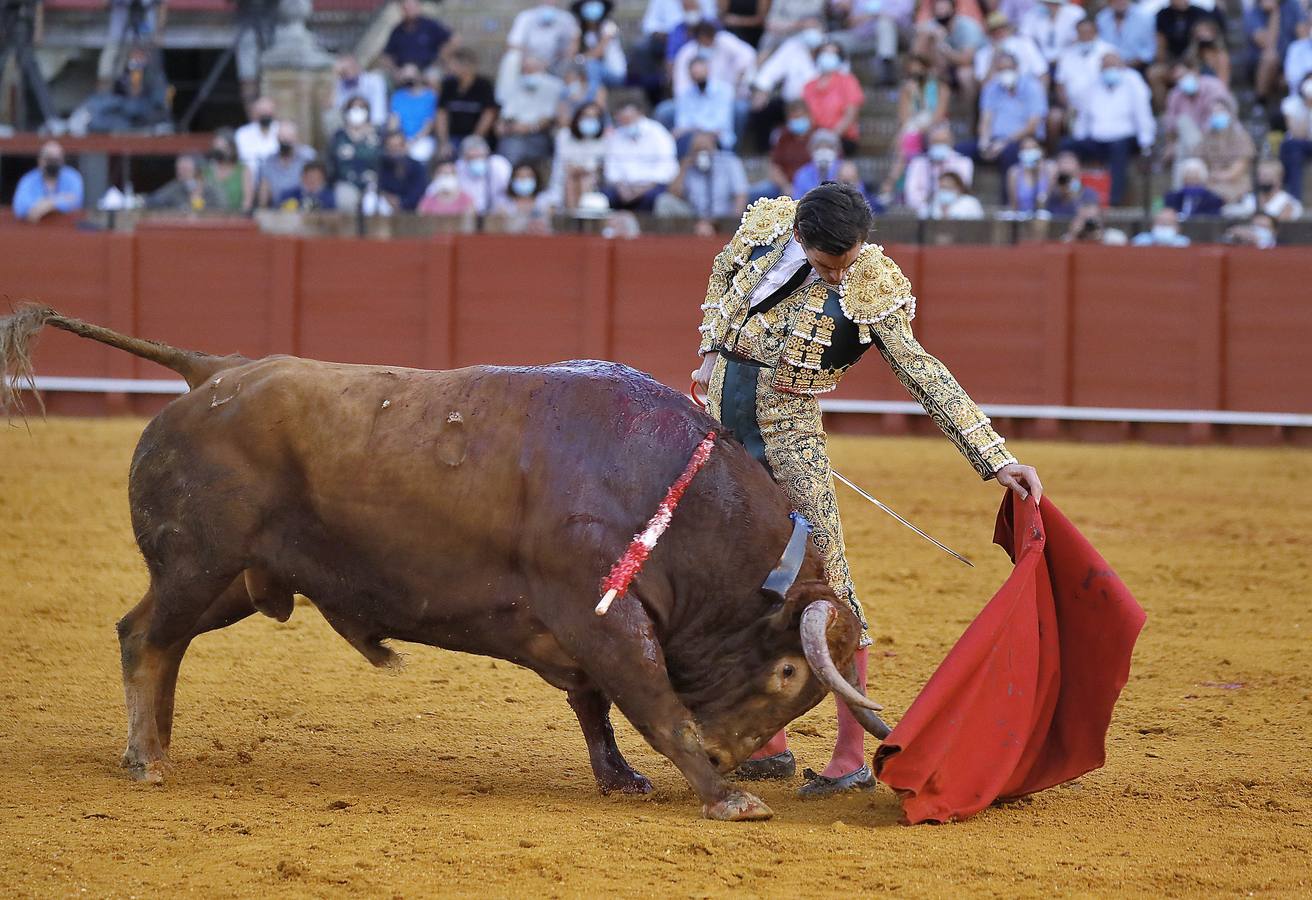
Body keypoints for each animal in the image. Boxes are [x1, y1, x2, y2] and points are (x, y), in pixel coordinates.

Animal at [0, 304, 892, 823]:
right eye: (788, 674)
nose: (729, 755)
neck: (676, 494)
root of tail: (214, 370)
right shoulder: (599, 614)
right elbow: (648, 700)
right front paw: (726, 797)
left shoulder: (581, 630)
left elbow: (595, 706)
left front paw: (624, 780)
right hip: (199, 565)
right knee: (148, 636)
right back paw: (148, 758)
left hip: (237, 579)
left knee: (156, 636)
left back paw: (154, 744)